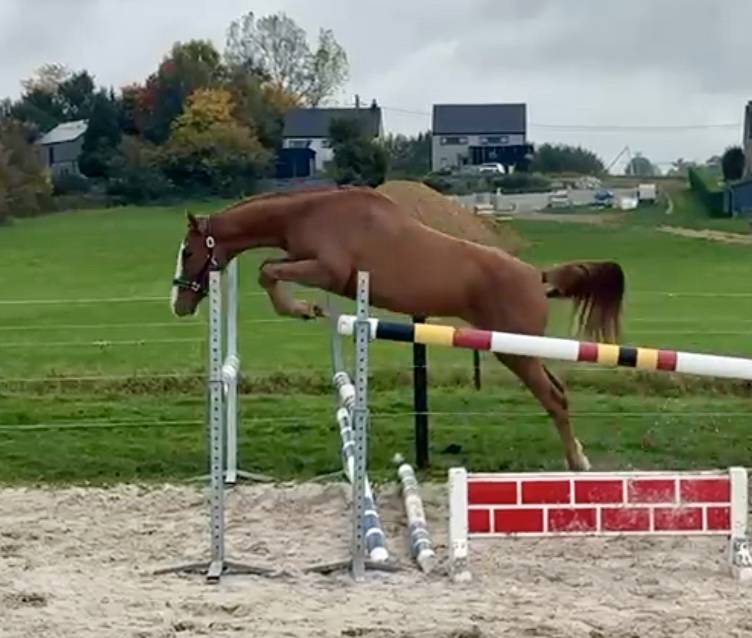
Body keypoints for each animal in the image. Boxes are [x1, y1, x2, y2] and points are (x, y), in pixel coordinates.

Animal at [170, 185, 625, 471]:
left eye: (189, 251)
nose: (179, 304)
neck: (310, 212)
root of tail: (537, 275)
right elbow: (270, 268)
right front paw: (306, 308)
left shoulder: (326, 269)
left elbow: (267, 271)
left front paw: (303, 309)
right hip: (520, 349)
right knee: (558, 392)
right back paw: (579, 457)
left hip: (514, 351)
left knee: (554, 398)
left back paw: (577, 464)